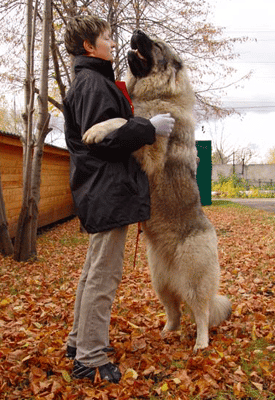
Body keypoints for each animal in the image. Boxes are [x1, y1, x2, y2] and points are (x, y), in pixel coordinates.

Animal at [82, 30, 233, 350]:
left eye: (156, 45)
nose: (138, 32)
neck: (158, 96)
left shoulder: (150, 152)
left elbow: (129, 121)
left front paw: (98, 129)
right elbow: (128, 118)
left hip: (193, 279)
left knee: (201, 312)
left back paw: (201, 344)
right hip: (159, 282)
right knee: (174, 312)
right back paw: (165, 333)